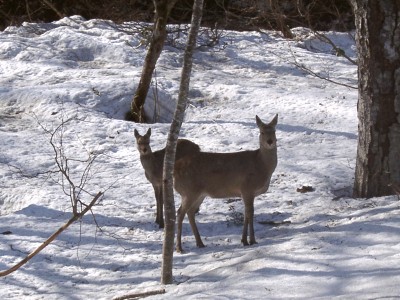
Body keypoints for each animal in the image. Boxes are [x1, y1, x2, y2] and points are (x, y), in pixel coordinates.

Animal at [175, 115, 278, 253]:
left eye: (274, 131)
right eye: (261, 132)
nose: (270, 141)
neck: (261, 165)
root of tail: (175, 170)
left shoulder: (247, 192)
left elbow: (247, 214)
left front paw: (245, 240)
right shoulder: (247, 188)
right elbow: (250, 213)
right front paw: (250, 240)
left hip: (199, 194)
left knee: (190, 212)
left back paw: (200, 243)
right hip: (189, 190)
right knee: (180, 212)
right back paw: (179, 248)